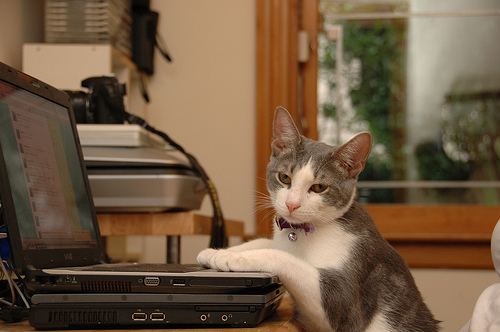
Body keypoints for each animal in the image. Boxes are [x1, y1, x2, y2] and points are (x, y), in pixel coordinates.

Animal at [197, 107, 440, 332]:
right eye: (284, 177)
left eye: (319, 187)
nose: (292, 204)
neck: (304, 232)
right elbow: (266, 242)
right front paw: (216, 252)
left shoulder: (348, 299)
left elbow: (285, 258)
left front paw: (231, 258)